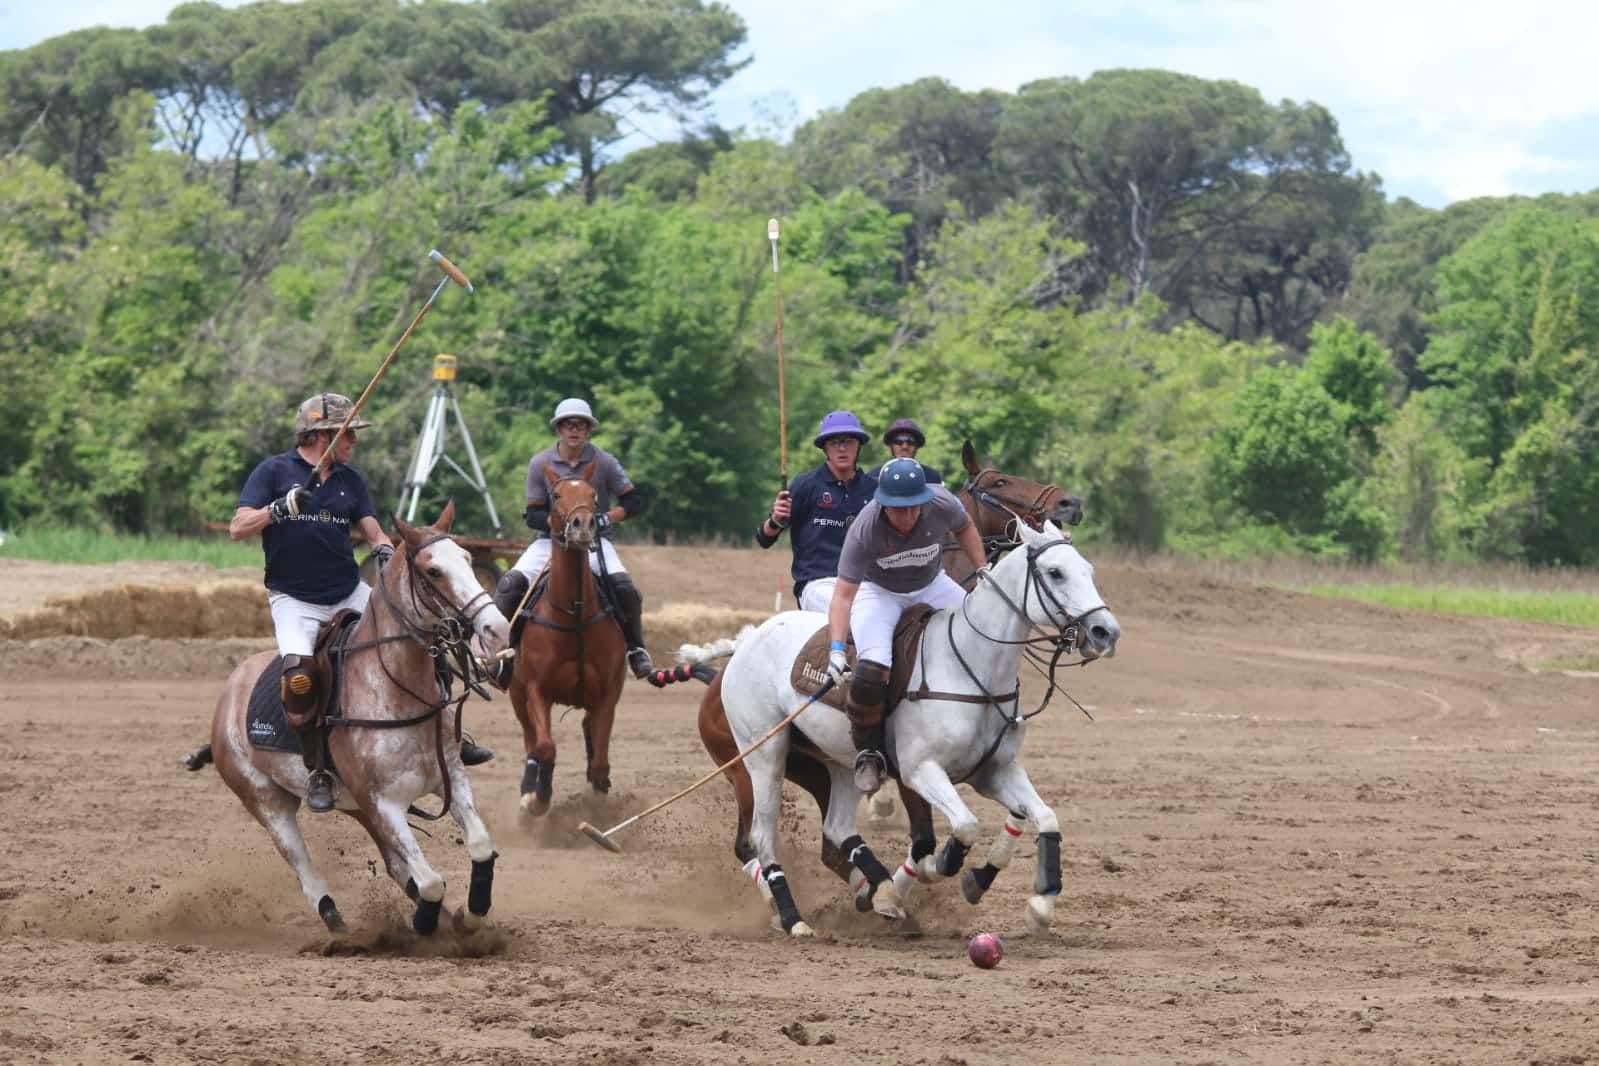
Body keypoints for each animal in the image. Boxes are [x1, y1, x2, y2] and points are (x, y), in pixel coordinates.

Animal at [508, 463, 626, 818]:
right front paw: (539, 798)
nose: (584, 524)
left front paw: (598, 800)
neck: (573, 616)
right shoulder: (536, 689)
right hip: (516, 693)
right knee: (531, 740)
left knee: (588, 730)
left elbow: (600, 762)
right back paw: (528, 789)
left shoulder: (608, 693)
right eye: (556, 495)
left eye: (593, 494)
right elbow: (545, 747)